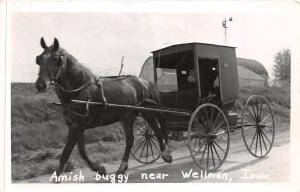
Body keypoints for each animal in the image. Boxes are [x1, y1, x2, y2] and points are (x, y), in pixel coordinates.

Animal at [34, 37, 171, 177]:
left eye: (56, 59)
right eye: (38, 59)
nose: (40, 85)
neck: (79, 90)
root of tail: (145, 82)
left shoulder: (77, 126)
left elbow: (73, 152)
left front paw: (98, 168)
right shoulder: (75, 126)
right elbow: (72, 152)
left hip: (147, 112)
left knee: (157, 131)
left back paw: (165, 155)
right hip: (127, 117)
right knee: (130, 140)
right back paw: (122, 167)